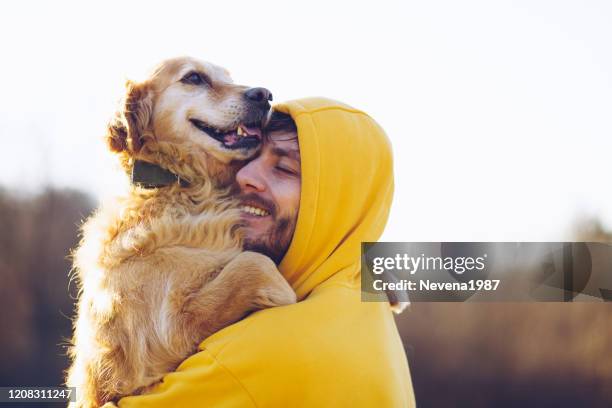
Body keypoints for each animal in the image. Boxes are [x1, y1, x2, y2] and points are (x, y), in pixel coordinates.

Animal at [66, 58, 296, 408]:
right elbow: (253, 264)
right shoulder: (170, 329)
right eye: (194, 78)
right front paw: (289, 295)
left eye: (229, 77)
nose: (264, 95)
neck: (186, 188)